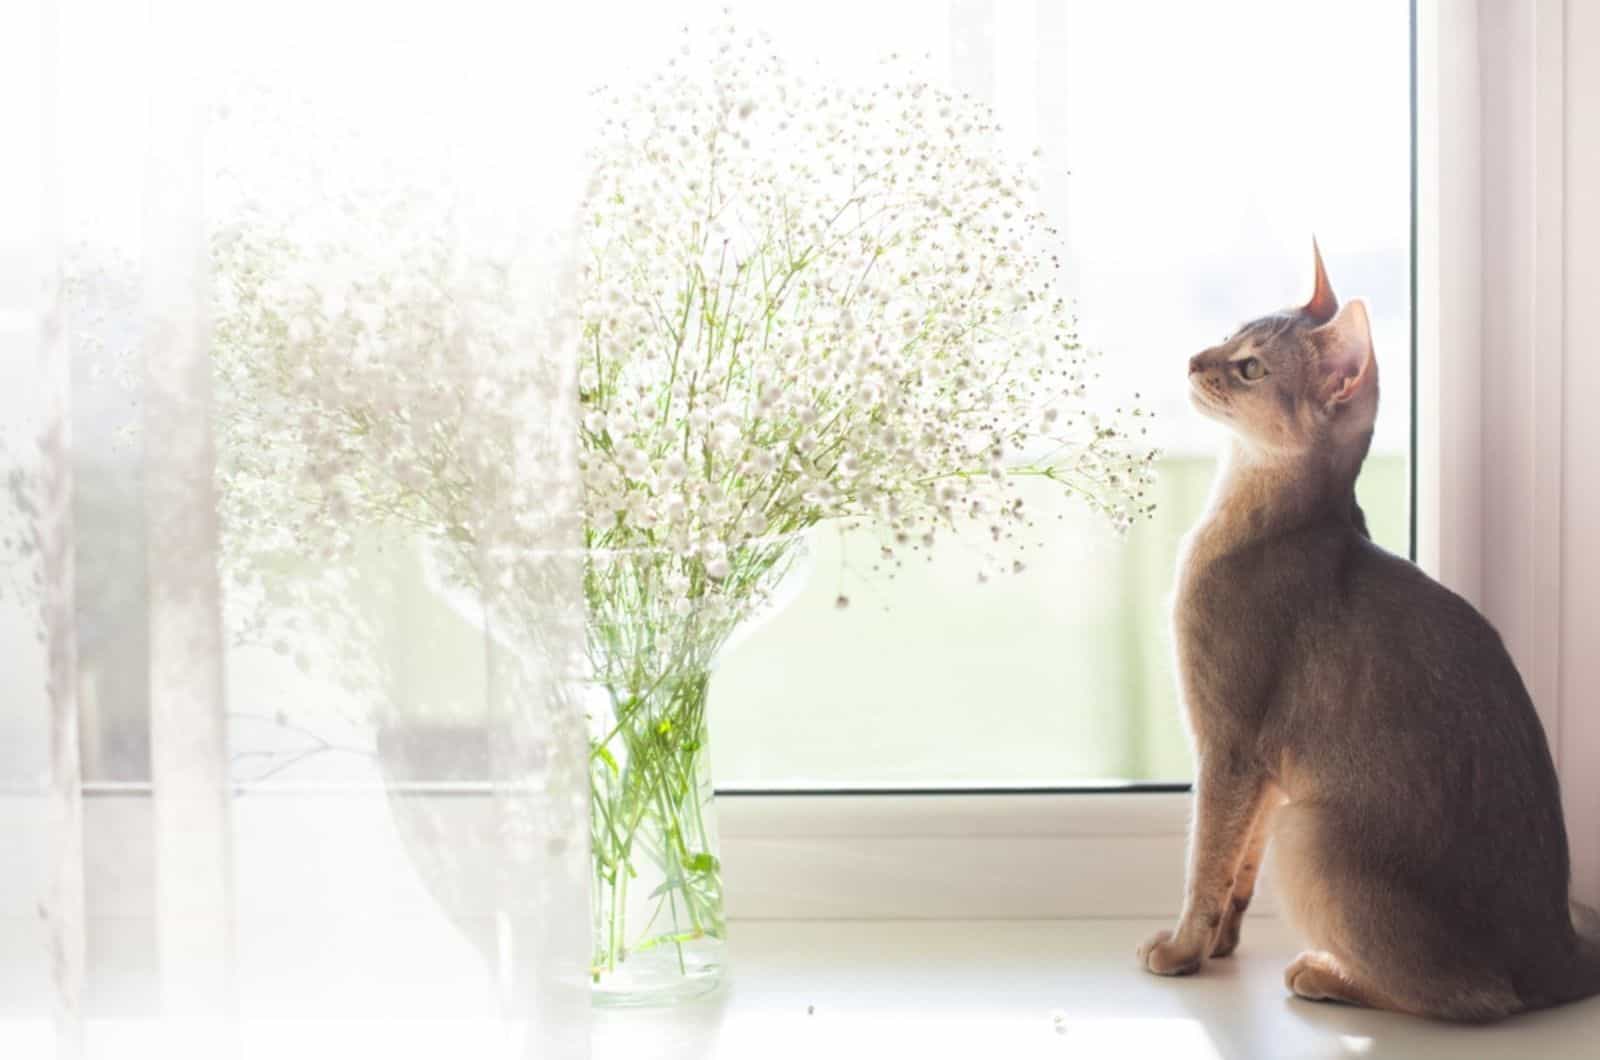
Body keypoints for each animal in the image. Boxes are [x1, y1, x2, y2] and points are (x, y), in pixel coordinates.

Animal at [1139, 244, 1600, 1024]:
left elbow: (1208, 856)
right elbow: (1239, 859)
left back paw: (1329, 975)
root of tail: (1561, 955)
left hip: (1310, 834)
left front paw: (1182, 949)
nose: (1195, 359)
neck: (1273, 521)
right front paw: (1221, 944)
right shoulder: (1269, 773)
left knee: (1478, 997)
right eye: (1229, 337)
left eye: (1250, 366)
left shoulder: (1228, 743)